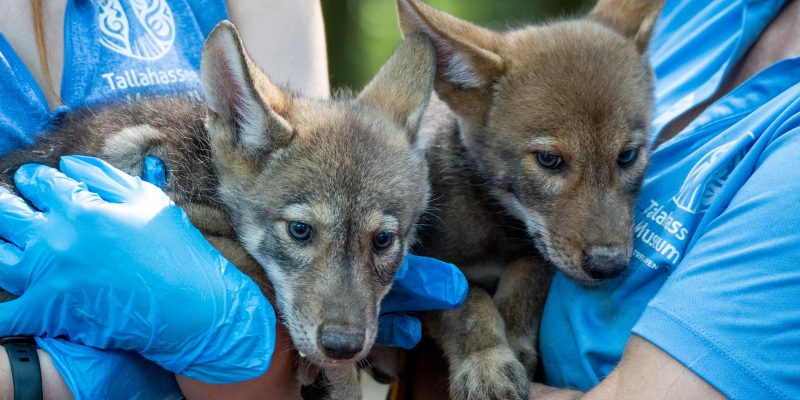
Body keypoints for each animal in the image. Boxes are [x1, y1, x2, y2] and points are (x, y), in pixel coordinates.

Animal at [0, 22, 435, 399]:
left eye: (383, 240)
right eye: (299, 230)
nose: (342, 346)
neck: (204, 171)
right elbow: (259, 279)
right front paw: (335, 376)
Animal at [373, 0, 665, 399]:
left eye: (627, 156)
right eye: (549, 160)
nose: (608, 266)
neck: (495, 223)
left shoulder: (538, 255)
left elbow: (525, 278)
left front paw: (512, 342)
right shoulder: (420, 271)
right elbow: (467, 302)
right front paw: (485, 363)